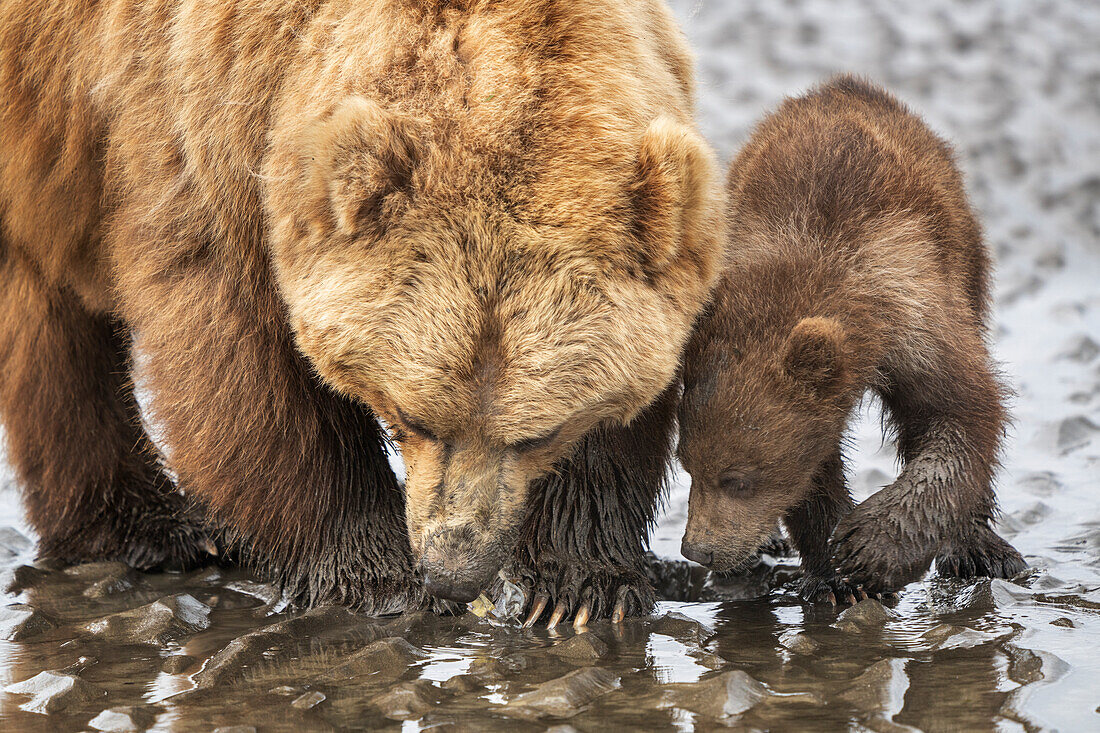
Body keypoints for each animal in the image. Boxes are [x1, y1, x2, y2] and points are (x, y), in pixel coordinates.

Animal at [0, 0, 721, 620]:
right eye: (413, 417)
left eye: (539, 434)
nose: (453, 570)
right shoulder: (200, 116)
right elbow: (244, 361)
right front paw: (375, 576)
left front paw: (578, 586)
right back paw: (156, 527)